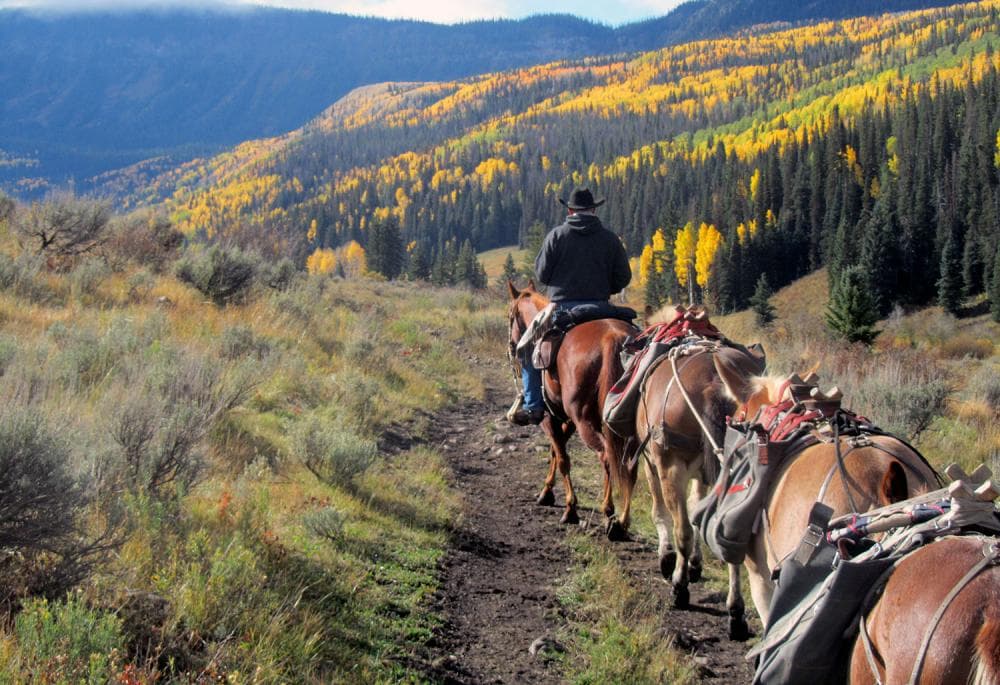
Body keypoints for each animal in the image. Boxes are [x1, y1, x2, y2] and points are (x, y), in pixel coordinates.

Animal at [506, 280, 638, 537]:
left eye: (510, 316)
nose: (512, 347)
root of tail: (613, 337)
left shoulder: (549, 418)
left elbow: (562, 458)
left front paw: (570, 508)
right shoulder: (566, 421)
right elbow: (554, 452)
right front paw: (546, 493)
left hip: (585, 420)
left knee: (606, 455)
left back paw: (609, 513)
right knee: (628, 463)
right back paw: (622, 521)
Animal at [626, 305, 766, 639]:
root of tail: (714, 381)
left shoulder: (653, 463)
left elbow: (664, 514)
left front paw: (669, 560)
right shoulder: (704, 473)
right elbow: (696, 510)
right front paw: (695, 565)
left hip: (668, 465)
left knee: (683, 531)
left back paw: (680, 588)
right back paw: (736, 613)